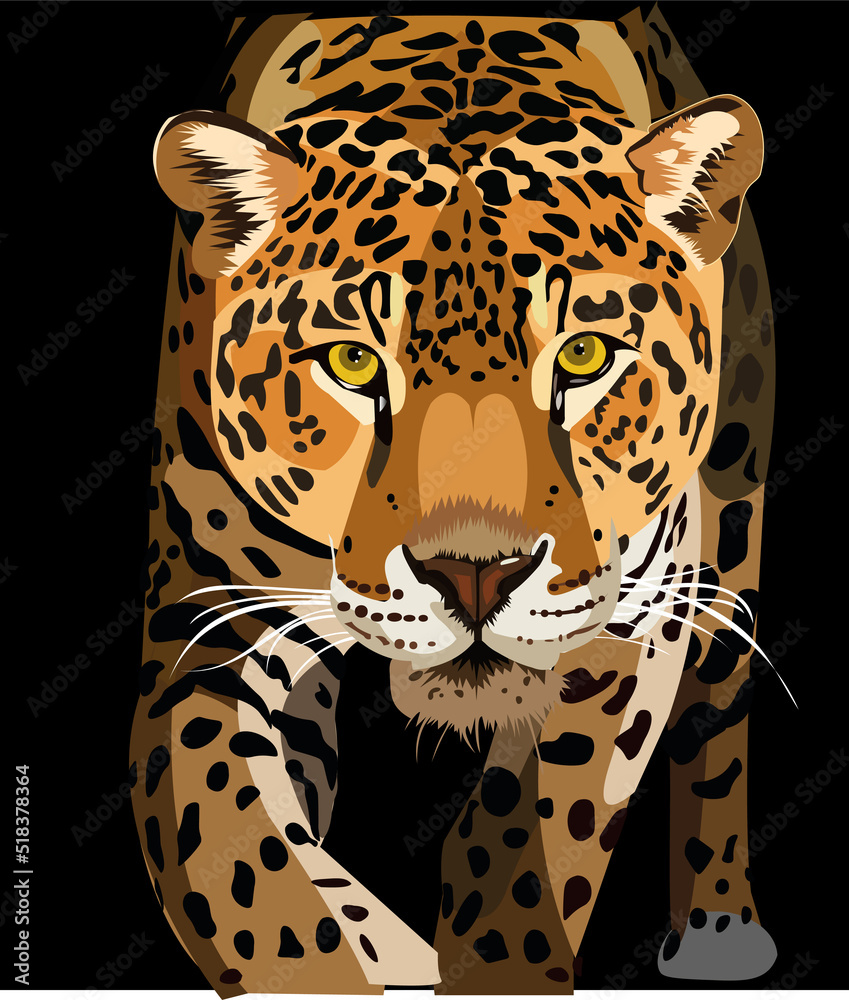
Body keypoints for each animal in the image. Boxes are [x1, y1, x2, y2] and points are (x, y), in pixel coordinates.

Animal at [130, 6, 780, 994]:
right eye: (351, 360)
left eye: (585, 355)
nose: (474, 575)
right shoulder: (205, 640)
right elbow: (267, 892)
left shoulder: (628, 614)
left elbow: (526, 838)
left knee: (722, 709)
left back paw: (718, 923)